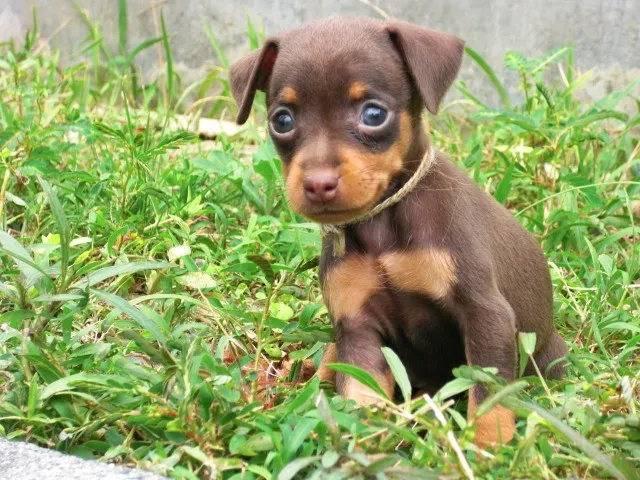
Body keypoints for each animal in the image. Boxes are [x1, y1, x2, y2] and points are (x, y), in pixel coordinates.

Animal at [228, 15, 568, 450]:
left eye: (374, 115)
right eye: (281, 120)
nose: (318, 184)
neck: (381, 228)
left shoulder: (486, 314)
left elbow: (489, 397)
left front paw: (486, 449)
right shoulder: (357, 325)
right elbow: (361, 396)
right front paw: (365, 446)